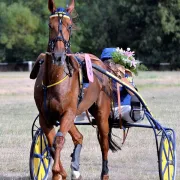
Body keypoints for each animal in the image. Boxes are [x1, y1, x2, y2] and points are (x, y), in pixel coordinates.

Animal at [30, 0, 120, 179]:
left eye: (69, 26)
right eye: (50, 25)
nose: (58, 56)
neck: (54, 79)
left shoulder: (68, 112)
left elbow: (58, 141)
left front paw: (57, 171)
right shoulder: (46, 116)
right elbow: (51, 143)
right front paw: (61, 173)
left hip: (101, 112)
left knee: (104, 142)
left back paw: (104, 173)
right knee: (78, 137)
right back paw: (75, 168)